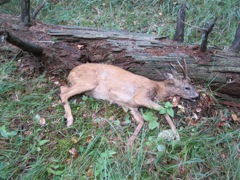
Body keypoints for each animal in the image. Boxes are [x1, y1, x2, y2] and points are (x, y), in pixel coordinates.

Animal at [59, 59, 199, 146]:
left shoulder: (131, 106)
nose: (197, 96)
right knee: (63, 92)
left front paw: (130, 142)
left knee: (62, 88)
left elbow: (141, 121)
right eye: (187, 87)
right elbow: (163, 110)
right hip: (89, 81)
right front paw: (178, 137)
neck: (158, 88)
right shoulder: (141, 96)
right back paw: (69, 120)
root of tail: (70, 73)